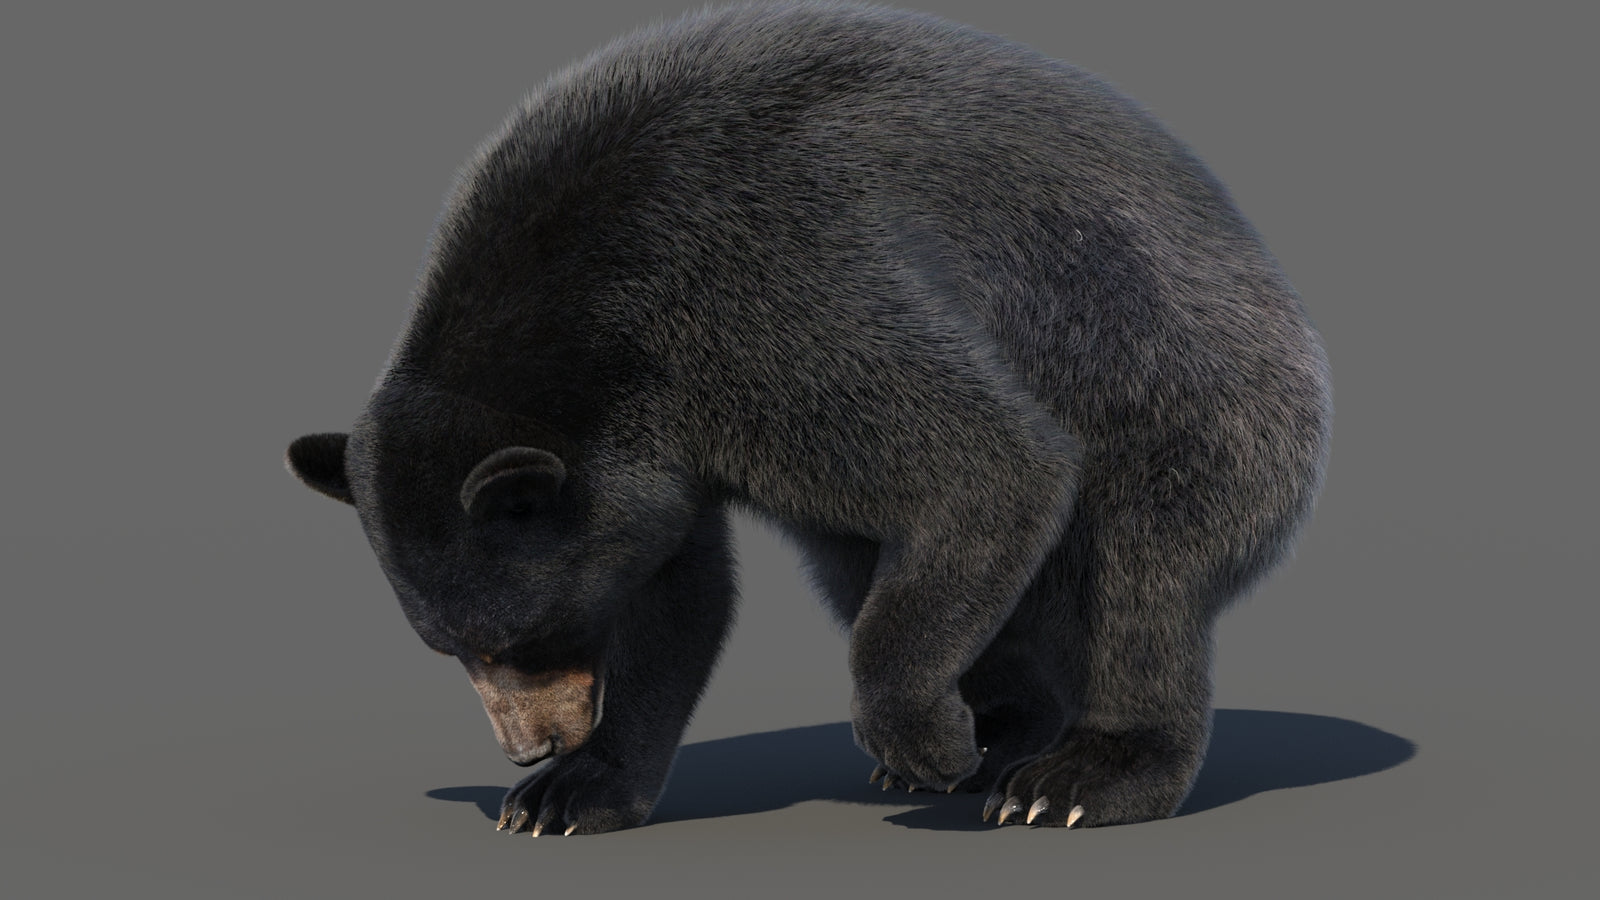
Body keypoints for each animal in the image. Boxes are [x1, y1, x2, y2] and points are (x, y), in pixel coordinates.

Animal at [287, 0, 1331, 836]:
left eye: (522, 638)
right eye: (451, 647)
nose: (528, 746)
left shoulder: (769, 297)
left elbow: (993, 460)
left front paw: (925, 739)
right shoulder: (656, 438)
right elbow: (677, 591)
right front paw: (571, 794)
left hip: (1188, 390)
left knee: (1141, 577)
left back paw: (1075, 777)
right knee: (867, 564)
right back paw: (1002, 728)